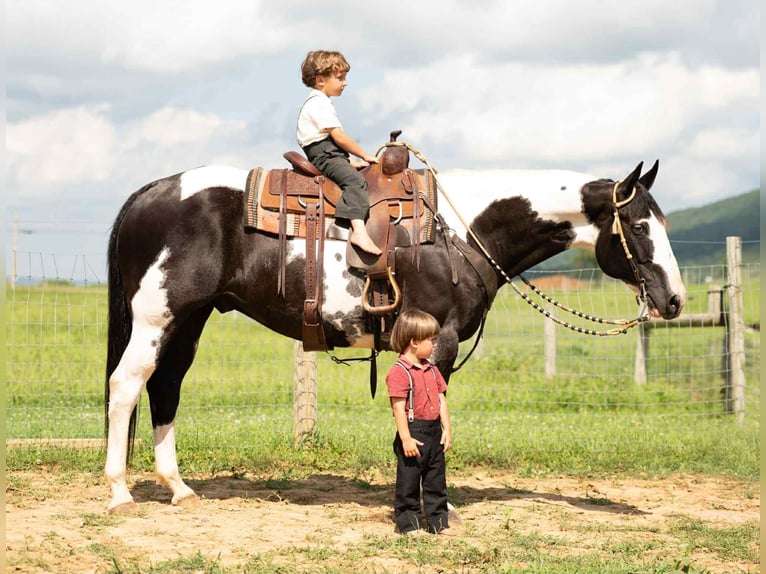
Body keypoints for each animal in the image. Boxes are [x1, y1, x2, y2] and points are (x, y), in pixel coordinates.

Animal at [104, 157, 686, 513]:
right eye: (638, 227)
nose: (675, 300)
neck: (461, 230)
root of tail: (151, 192)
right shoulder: (439, 343)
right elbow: (427, 422)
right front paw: (432, 503)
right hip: (158, 318)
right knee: (126, 386)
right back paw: (118, 492)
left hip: (190, 320)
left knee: (166, 388)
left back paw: (179, 489)